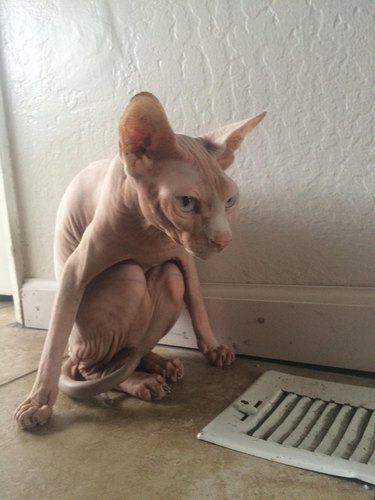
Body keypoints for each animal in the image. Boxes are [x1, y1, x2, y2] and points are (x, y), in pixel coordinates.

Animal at [14, 94, 266, 430]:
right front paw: (38, 402)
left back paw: (159, 364)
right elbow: (52, 344)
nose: (224, 241)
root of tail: (77, 351)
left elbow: (198, 304)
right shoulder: (75, 272)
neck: (150, 233)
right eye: (186, 203)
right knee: (91, 367)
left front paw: (212, 348)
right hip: (119, 287)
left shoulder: (183, 256)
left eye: (230, 201)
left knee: (135, 342)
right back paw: (139, 380)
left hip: (168, 280)